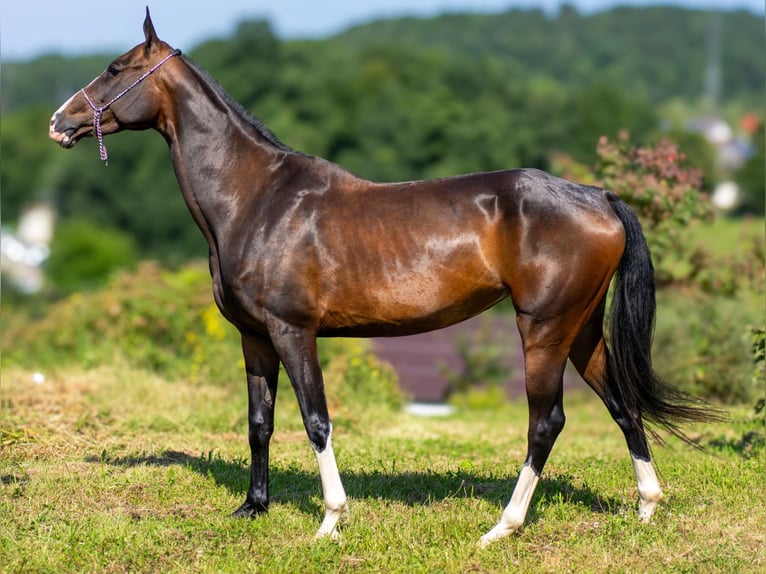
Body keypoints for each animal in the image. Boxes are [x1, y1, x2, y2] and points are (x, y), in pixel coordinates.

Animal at [49, 10, 720, 548]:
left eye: (114, 68)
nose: (60, 121)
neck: (258, 198)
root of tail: (598, 196)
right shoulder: (254, 336)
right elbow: (260, 422)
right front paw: (252, 508)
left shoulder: (293, 332)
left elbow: (316, 420)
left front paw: (330, 520)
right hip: (580, 329)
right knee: (621, 402)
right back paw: (646, 509)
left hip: (544, 329)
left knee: (546, 421)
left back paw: (502, 527)